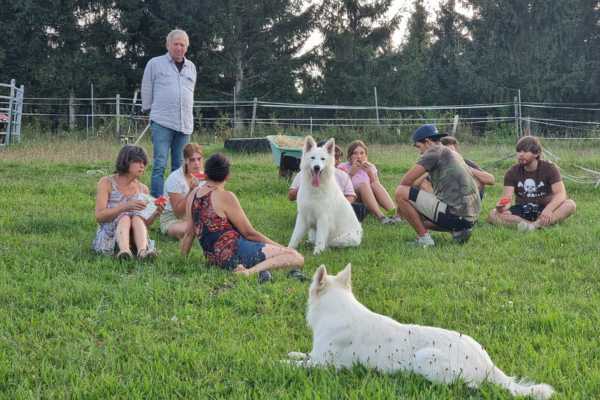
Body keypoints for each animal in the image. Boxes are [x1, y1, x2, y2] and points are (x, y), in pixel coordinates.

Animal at [288, 264, 556, 398]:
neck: (338, 308)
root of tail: (488, 364)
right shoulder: (316, 356)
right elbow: (302, 355)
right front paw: (293, 354)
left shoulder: (324, 365)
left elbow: (296, 364)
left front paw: (282, 362)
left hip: (425, 358)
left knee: (467, 386)